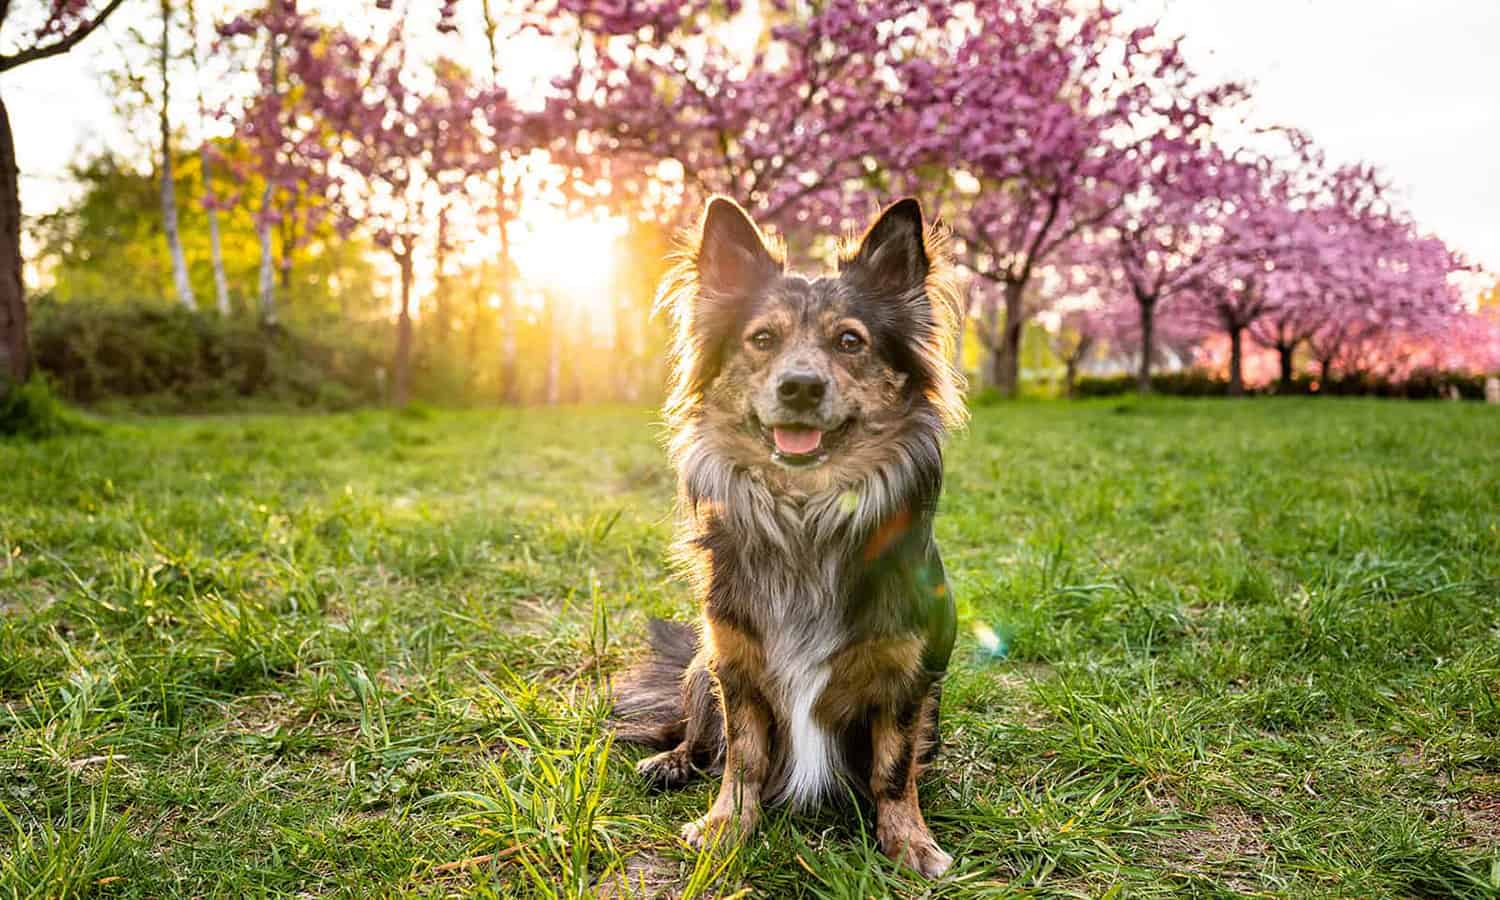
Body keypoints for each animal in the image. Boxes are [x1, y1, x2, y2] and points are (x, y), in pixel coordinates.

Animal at [615, 193, 966, 876]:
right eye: (762, 339)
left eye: (850, 341)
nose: (800, 386)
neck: (805, 513)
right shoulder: (735, 658)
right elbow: (743, 755)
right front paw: (728, 825)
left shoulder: (908, 673)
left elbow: (893, 767)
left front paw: (909, 841)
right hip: (699, 664)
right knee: (694, 730)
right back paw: (671, 760)